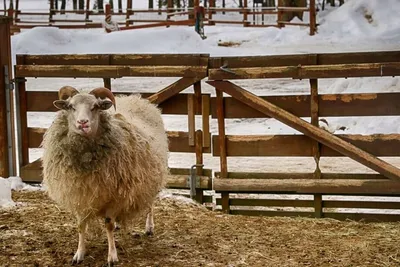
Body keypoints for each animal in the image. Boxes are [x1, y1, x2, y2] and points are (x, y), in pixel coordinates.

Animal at [41, 87, 169, 266]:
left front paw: (112, 256)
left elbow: (108, 226)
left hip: (150, 176)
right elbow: (81, 225)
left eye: (95, 107)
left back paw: (149, 227)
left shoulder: (114, 197)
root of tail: (136, 98)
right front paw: (79, 254)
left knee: (149, 203)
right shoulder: (79, 195)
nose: (83, 123)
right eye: (71, 106)